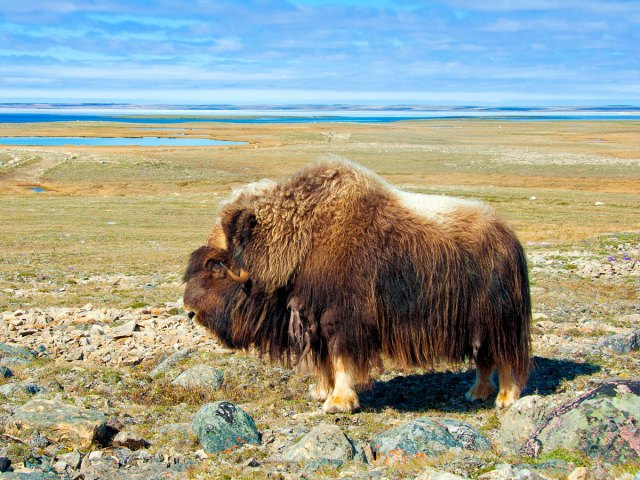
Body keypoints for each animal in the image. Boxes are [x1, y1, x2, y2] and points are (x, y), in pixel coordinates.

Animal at [184, 160, 528, 412]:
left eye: (216, 264)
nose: (189, 310)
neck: (298, 239)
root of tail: (508, 236)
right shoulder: (312, 319)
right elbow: (322, 360)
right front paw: (320, 392)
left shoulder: (342, 319)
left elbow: (340, 358)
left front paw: (338, 403)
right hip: (478, 325)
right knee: (485, 358)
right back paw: (477, 392)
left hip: (499, 319)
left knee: (504, 357)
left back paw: (505, 399)